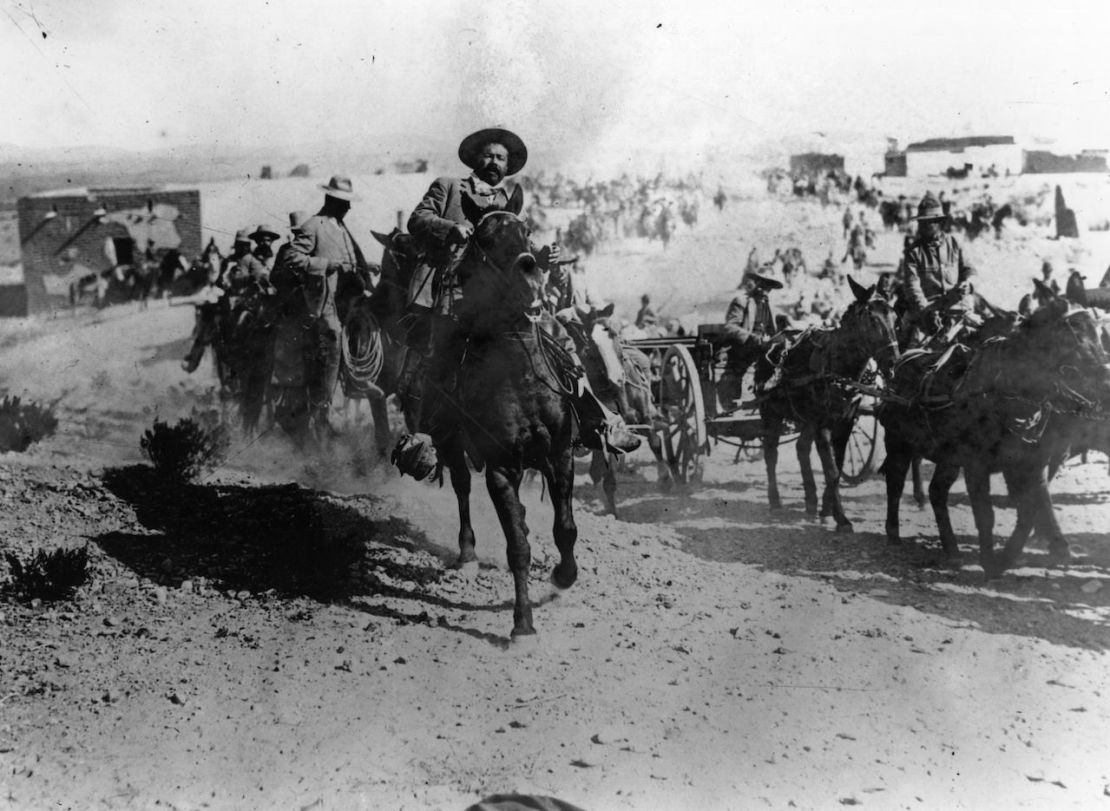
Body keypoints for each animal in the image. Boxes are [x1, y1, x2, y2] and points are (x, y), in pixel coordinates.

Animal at [759, 277, 896, 532]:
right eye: (872, 320)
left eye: (894, 316)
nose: (893, 362)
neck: (837, 366)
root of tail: (775, 336)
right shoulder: (822, 425)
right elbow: (831, 469)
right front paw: (841, 519)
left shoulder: (845, 422)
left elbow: (838, 466)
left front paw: (826, 510)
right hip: (770, 413)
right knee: (771, 453)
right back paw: (775, 502)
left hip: (806, 419)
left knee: (801, 448)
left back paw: (811, 502)